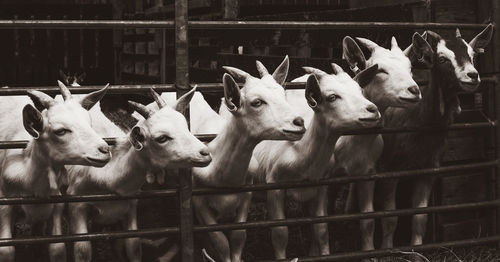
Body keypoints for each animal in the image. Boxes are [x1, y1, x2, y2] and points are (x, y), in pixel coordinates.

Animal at [0, 82, 110, 262]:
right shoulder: (5, 205)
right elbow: (6, 250)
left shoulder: (57, 204)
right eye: (60, 131)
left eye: (89, 122)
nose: (105, 150)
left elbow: (57, 248)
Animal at [65, 88, 211, 262]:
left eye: (186, 127)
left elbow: (133, 246)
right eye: (162, 138)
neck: (106, 178)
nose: (205, 153)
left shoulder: (131, 205)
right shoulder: (76, 207)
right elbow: (82, 250)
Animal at [193, 57, 306, 262]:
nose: (299, 122)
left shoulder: (246, 195)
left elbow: (238, 236)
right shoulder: (199, 203)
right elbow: (220, 240)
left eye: (282, 94)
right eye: (257, 102)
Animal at [254, 62, 382, 258]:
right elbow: (280, 233)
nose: (372, 110)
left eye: (360, 90)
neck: (300, 152)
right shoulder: (274, 186)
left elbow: (321, 228)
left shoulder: (321, 185)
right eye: (332, 97)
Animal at [378, 23, 492, 253]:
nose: (472, 75)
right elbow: (390, 218)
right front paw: (386, 251)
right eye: (442, 59)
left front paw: (416, 252)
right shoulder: (389, 169)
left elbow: (420, 217)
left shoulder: (429, 169)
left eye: (472, 55)